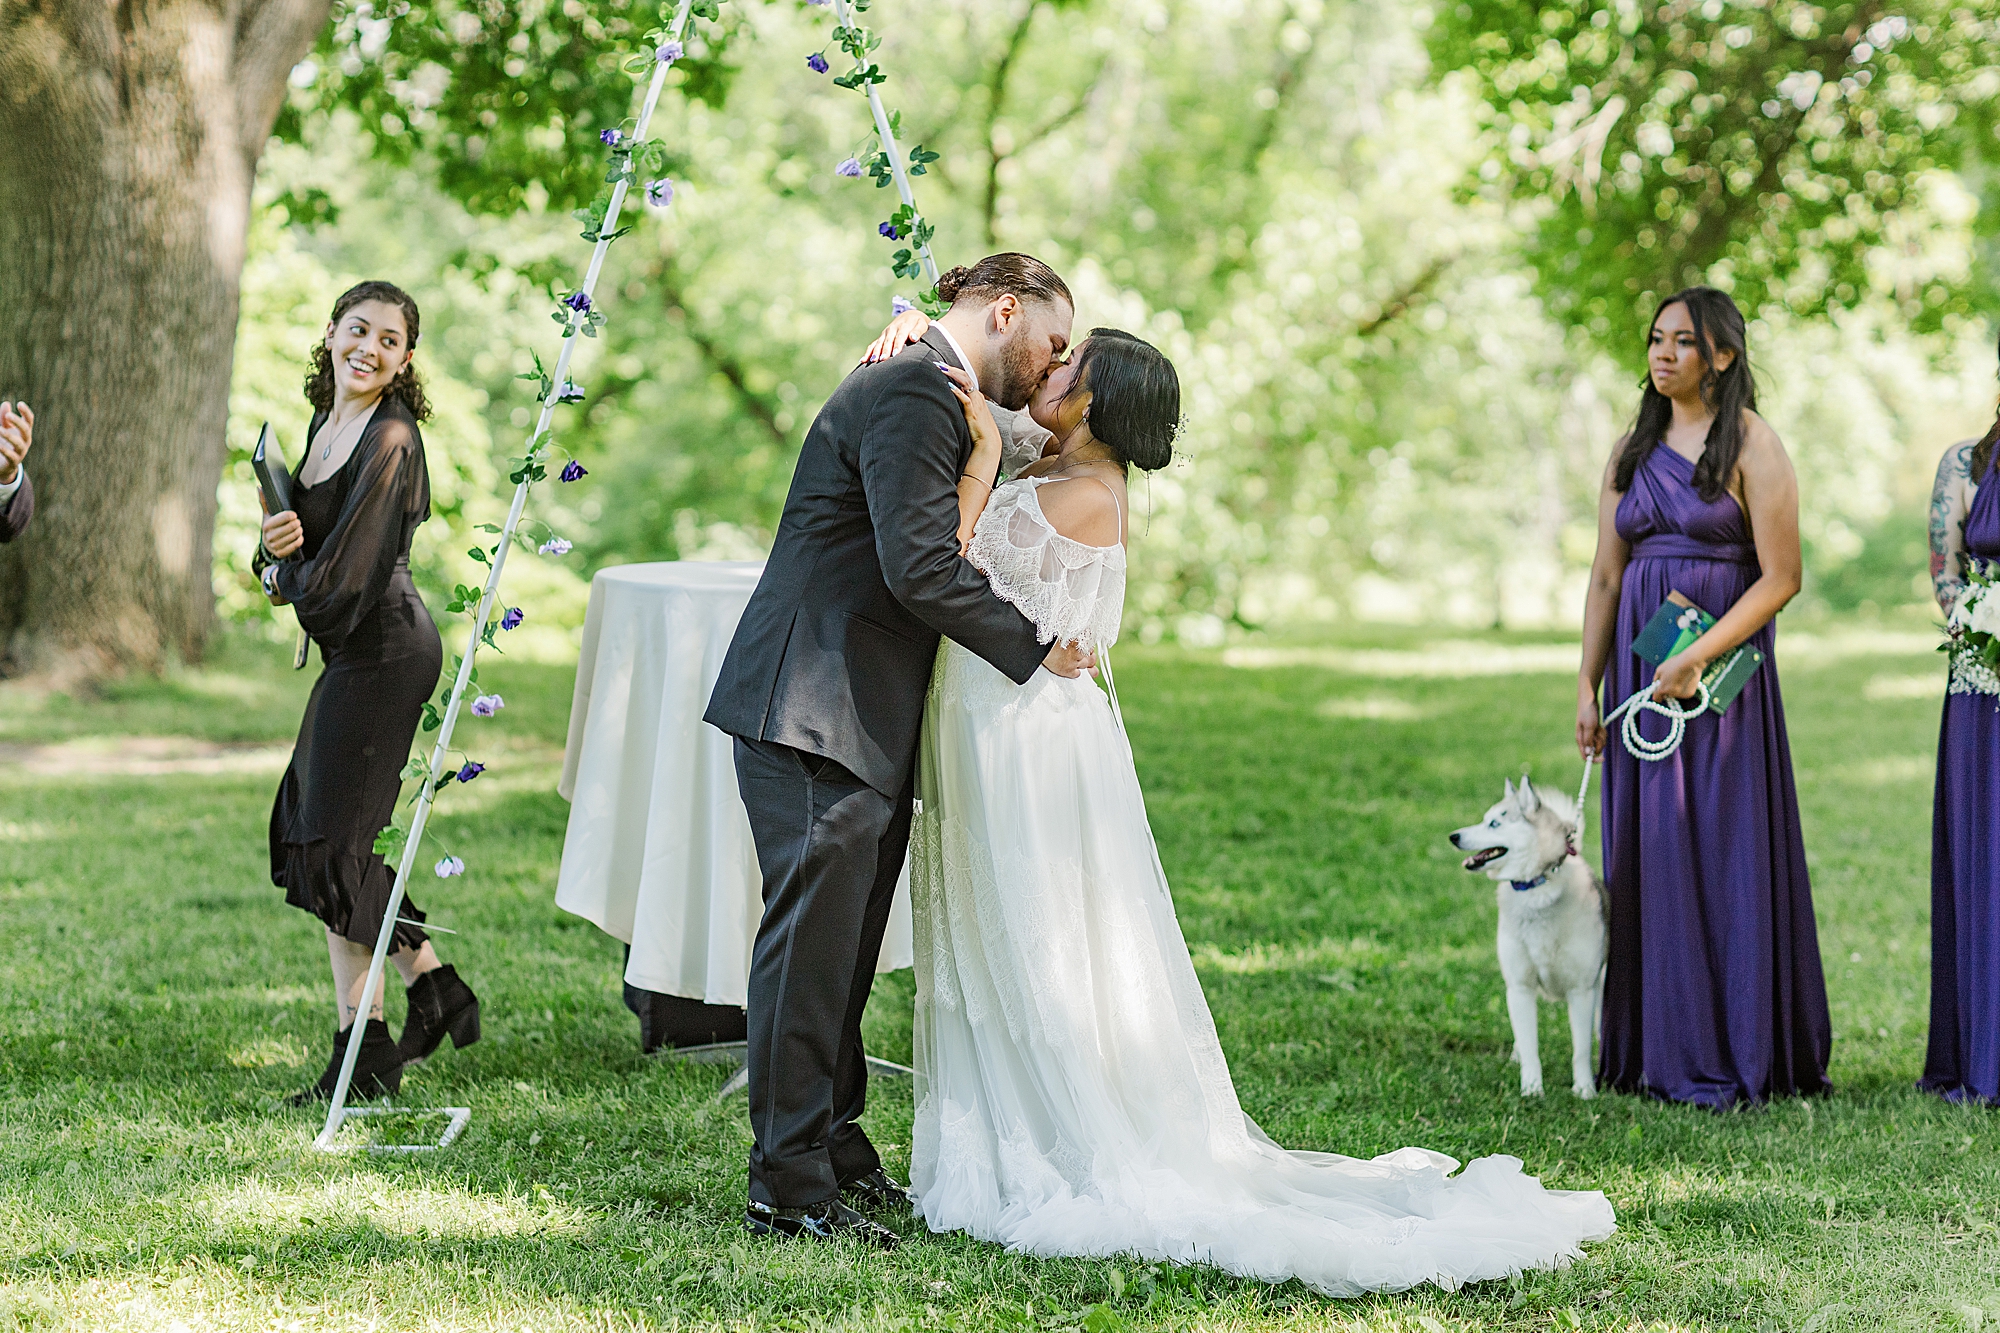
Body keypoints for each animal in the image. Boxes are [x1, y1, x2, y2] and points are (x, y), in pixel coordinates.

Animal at [1448, 772, 1600, 1096]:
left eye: (1495, 823)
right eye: (1484, 819)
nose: (1453, 836)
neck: (1536, 887)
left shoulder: (1581, 989)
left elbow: (1580, 1050)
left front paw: (1584, 1091)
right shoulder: (1519, 986)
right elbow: (1531, 1046)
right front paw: (1532, 1089)